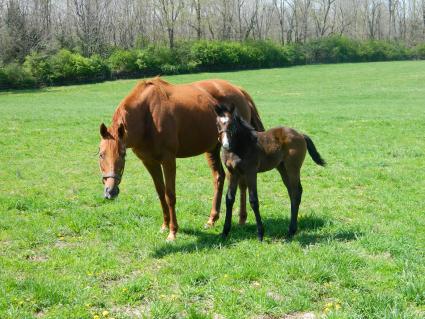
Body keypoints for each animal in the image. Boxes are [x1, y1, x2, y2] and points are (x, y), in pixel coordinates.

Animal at [98, 78, 262, 242]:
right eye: (100, 154)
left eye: (122, 154)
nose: (110, 191)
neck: (147, 116)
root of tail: (239, 90)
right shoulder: (149, 162)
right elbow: (160, 193)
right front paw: (164, 225)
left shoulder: (168, 160)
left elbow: (170, 195)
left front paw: (173, 232)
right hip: (213, 149)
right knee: (219, 177)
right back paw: (212, 219)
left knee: (241, 182)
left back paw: (241, 219)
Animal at [215, 105, 324, 242]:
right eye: (217, 124)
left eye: (232, 124)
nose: (225, 144)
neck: (240, 146)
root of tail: (300, 134)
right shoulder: (232, 172)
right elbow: (229, 199)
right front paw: (225, 232)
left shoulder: (251, 172)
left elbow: (253, 200)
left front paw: (260, 234)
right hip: (282, 168)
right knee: (292, 192)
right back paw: (291, 231)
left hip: (293, 168)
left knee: (296, 193)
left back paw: (290, 232)